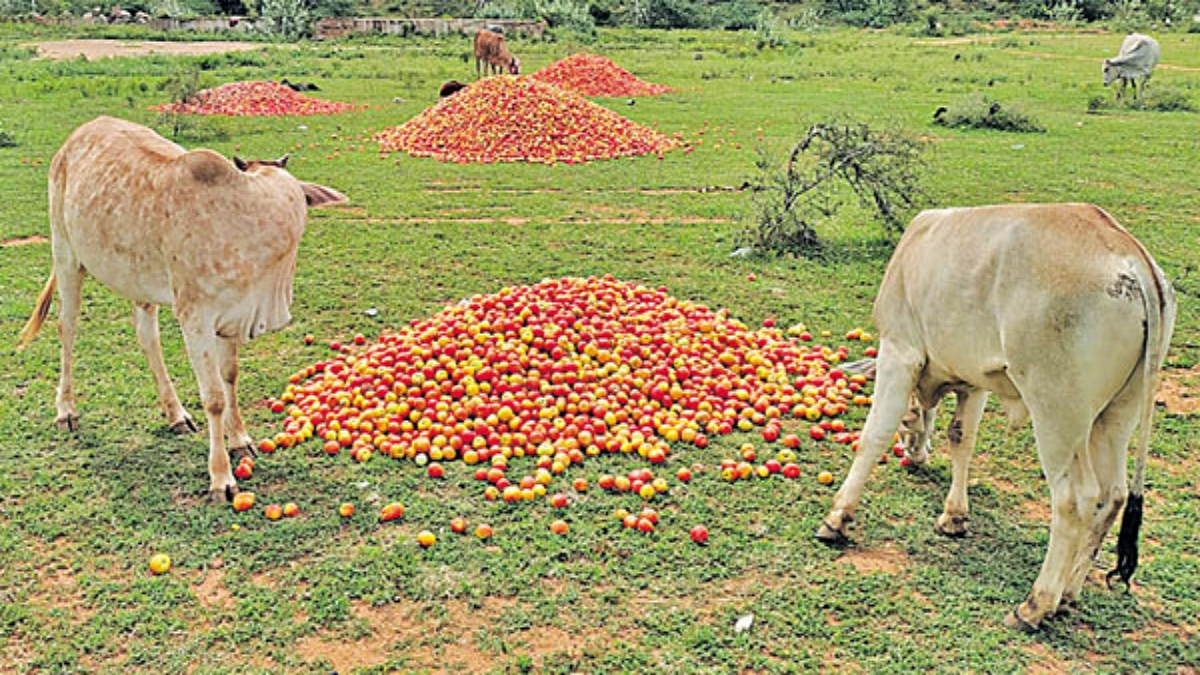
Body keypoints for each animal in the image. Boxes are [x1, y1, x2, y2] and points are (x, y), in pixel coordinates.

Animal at [17, 115, 348, 499]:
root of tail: (76, 137)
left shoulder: (232, 318)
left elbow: (230, 377)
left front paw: (240, 440)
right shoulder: (196, 318)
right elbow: (215, 397)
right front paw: (221, 478)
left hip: (138, 280)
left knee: (147, 337)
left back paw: (175, 414)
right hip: (66, 254)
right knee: (67, 328)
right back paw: (66, 411)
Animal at [816, 201, 1171, 629]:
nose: (914, 455)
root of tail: (1129, 254)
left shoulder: (899, 351)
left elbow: (874, 436)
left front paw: (837, 518)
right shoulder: (974, 383)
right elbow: (961, 439)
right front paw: (954, 517)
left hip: (1057, 413)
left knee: (1075, 499)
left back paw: (1036, 605)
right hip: (1116, 415)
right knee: (1113, 495)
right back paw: (1068, 593)